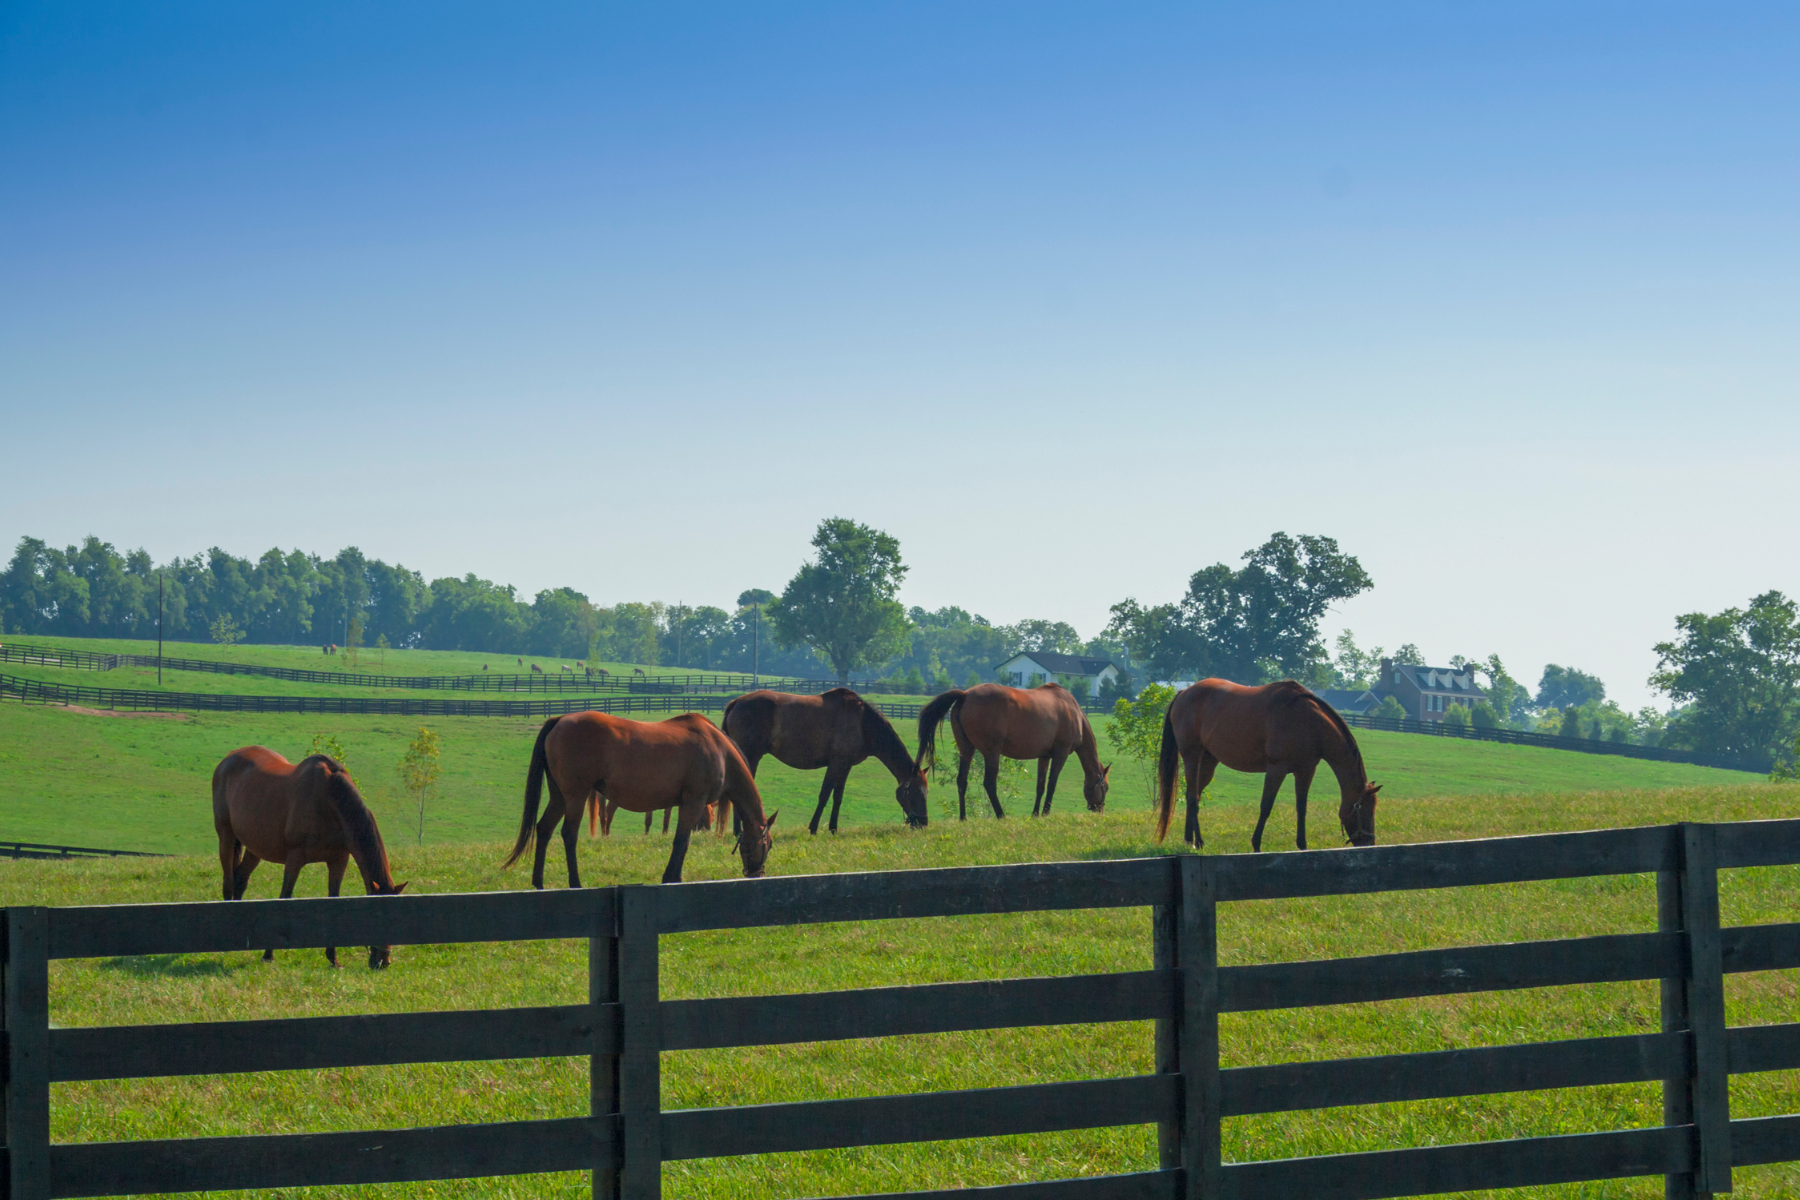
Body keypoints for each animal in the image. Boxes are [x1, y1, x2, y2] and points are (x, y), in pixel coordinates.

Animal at [211, 747, 407, 968]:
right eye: (375, 916)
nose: (382, 962)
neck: (328, 799)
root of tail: (228, 759)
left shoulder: (339, 860)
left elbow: (333, 900)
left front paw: (333, 959)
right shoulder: (295, 859)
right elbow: (284, 898)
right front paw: (268, 954)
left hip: (255, 848)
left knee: (240, 881)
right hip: (226, 837)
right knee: (228, 883)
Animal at [505, 712, 777, 886]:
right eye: (769, 844)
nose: (757, 874)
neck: (720, 750)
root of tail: (560, 720)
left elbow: (684, 841)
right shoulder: (693, 803)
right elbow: (681, 841)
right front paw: (670, 878)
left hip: (559, 796)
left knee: (544, 829)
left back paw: (538, 882)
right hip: (576, 796)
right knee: (568, 835)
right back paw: (575, 882)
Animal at [722, 688, 929, 835]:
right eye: (916, 793)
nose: (923, 823)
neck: (863, 723)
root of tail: (736, 702)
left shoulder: (845, 766)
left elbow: (837, 797)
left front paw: (833, 828)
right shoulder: (836, 764)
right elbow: (824, 795)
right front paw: (813, 828)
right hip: (750, 757)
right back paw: (739, 831)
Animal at [915, 683, 1109, 820]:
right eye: (1105, 787)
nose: (1100, 810)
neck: (1074, 712)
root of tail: (965, 695)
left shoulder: (1044, 756)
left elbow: (1040, 786)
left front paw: (1035, 814)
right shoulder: (1060, 753)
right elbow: (1052, 784)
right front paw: (1045, 812)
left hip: (966, 750)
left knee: (962, 781)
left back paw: (963, 818)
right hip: (991, 753)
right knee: (989, 784)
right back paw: (1001, 815)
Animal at [1155, 679, 1380, 852]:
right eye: (1364, 808)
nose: (1369, 843)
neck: (1308, 721)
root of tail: (1184, 692)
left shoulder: (1305, 771)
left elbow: (1301, 808)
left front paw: (1302, 845)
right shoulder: (1276, 769)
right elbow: (1266, 806)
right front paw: (1256, 844)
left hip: (1208, 762)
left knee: (1194, 794)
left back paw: (1189, 840)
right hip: (1192, 756)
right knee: (1192, 797)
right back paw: (1199, 842)